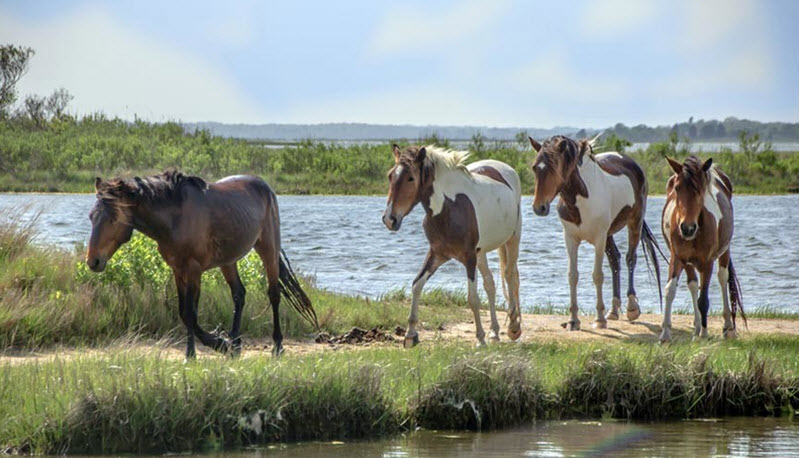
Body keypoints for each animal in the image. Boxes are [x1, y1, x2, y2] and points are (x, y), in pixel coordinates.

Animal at [84, 171, 316, 358]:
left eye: (113, 219)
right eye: (91, 217)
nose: (93, 261)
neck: (175, 218)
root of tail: (264, 186)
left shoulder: (194, 269)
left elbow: (191, 312)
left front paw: (194, 353)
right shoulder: (177, 269)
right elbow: (183, 312)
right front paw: (221, 343)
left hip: (268, 248)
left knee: (274, 294)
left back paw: (277, 346)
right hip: (228, 261)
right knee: (239, 294)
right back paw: (235, 345)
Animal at [382, 145, 524, 346]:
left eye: (411, 178)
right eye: (390, 176)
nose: (389, 219)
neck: (448, 208)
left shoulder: (469, 257)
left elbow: (473, 298)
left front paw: (480, 339)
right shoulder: (437, 254)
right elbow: (417, 285)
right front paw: (410, 335)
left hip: (512, 239)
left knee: (510, 276)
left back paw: (513, 328)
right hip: (481, 252)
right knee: (490, 284)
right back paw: (494, 333)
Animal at [532, 134, 664, 330]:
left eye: (555, 167)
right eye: (535, 167)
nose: (539, 207)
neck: (580, 200)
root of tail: (631, 162)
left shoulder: (599, 238)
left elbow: (598, 276)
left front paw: (599, 319)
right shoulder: (570, 239)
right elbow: (573, 276)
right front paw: (573, 320)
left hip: (634, 222)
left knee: (630, 259)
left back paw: (632, 307)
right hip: (609, 234)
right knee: (615, 260)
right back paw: (614, 310)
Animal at [656, 156, 744, 342]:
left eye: (700, 189)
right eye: (677, 187)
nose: (687, 228)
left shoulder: (707, 262)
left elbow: (703, 299)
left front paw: (704, 334)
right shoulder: (677, 258)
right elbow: (670, 290)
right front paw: (665, 333)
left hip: (724, 251)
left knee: (722, 278)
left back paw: (727, 327)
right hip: (688, 262)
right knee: (693, 284)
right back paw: (697, 327)